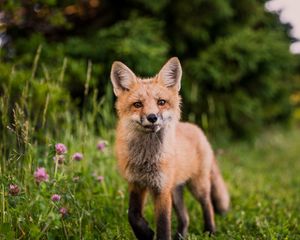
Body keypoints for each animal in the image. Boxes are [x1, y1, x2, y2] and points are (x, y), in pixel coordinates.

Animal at [110, 57, 230, 239]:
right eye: (137, 104)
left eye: (161, 102)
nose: (152, 117)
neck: (146, 159)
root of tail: (196, 128)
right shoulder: (137, 183)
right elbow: (132, 215)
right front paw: (145, 233)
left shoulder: (162, 189)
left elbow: (163, 225)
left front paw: (154, 233)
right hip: (176, 191)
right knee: (185, 217)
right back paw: (181, 235)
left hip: (197, 186)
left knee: (208, 204)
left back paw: (210, 231)